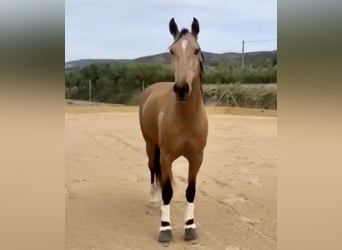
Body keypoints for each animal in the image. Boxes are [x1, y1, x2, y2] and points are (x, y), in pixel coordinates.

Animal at [138, 17, 208, 242]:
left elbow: (190, 191)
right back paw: (153, 200)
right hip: (151, 145)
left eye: (196, 49)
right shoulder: (166, 156)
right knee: (152, 169)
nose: (182, 89)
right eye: (171, 50)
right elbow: (167, 191)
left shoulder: (196, 158)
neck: (186, 119)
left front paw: (190, 226)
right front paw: (165, 229)